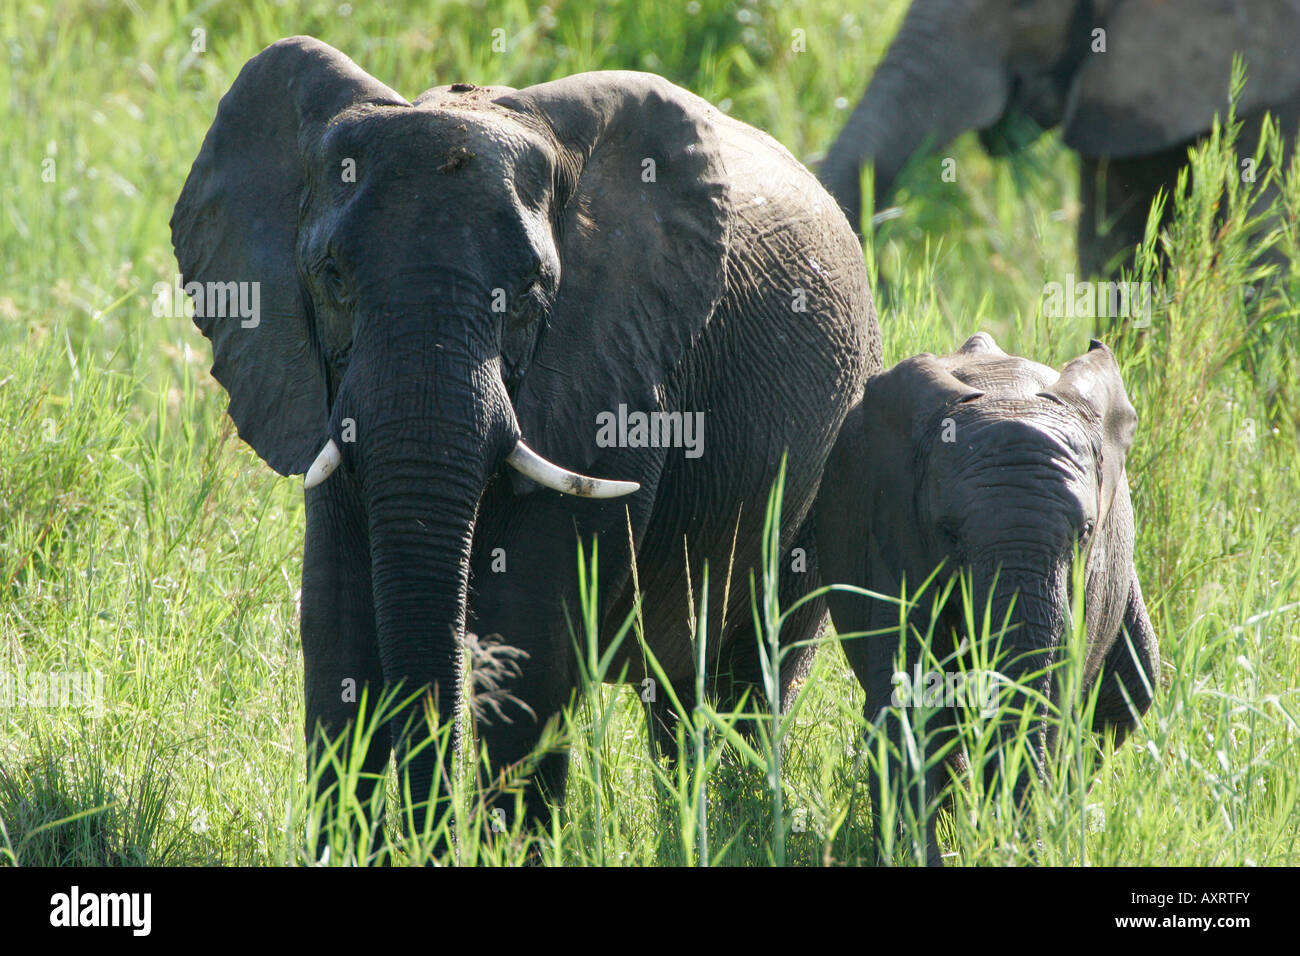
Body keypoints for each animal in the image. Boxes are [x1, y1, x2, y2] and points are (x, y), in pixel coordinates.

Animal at [171, 36, 879, 852]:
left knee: (747, 676)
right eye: (333, 278)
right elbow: (337, 620)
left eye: (533, 290)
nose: (427, 839)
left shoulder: (619, 375)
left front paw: (505, 848)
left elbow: (532, 628)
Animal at [814, 333, 1158, 864]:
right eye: (949, 534)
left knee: (1134, 686)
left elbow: (1053, 700)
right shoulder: (897, 532)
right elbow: (909, 698)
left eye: (1084, 533)